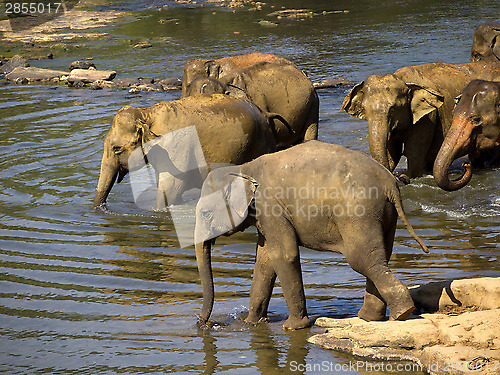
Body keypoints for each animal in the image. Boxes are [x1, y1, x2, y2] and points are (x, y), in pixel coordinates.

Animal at [193, 141, 428, 332]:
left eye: (205, 213)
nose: (204, 323)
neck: (244, 169)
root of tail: (391, 183)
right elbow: (264, 260)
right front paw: (251, 323)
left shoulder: (271, 207)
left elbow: (283, 256)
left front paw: (292, 327)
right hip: (385, 215)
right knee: (379, 258)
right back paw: (371, 317)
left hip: (359, 214)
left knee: (363, 260)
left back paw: (401, 313)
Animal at [342, 62, 500, 179]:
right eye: (365, 110)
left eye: (393, 109)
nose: (399, 177)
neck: (403, 79)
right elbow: (393, 153)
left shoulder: (428, 118)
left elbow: (413, 154)